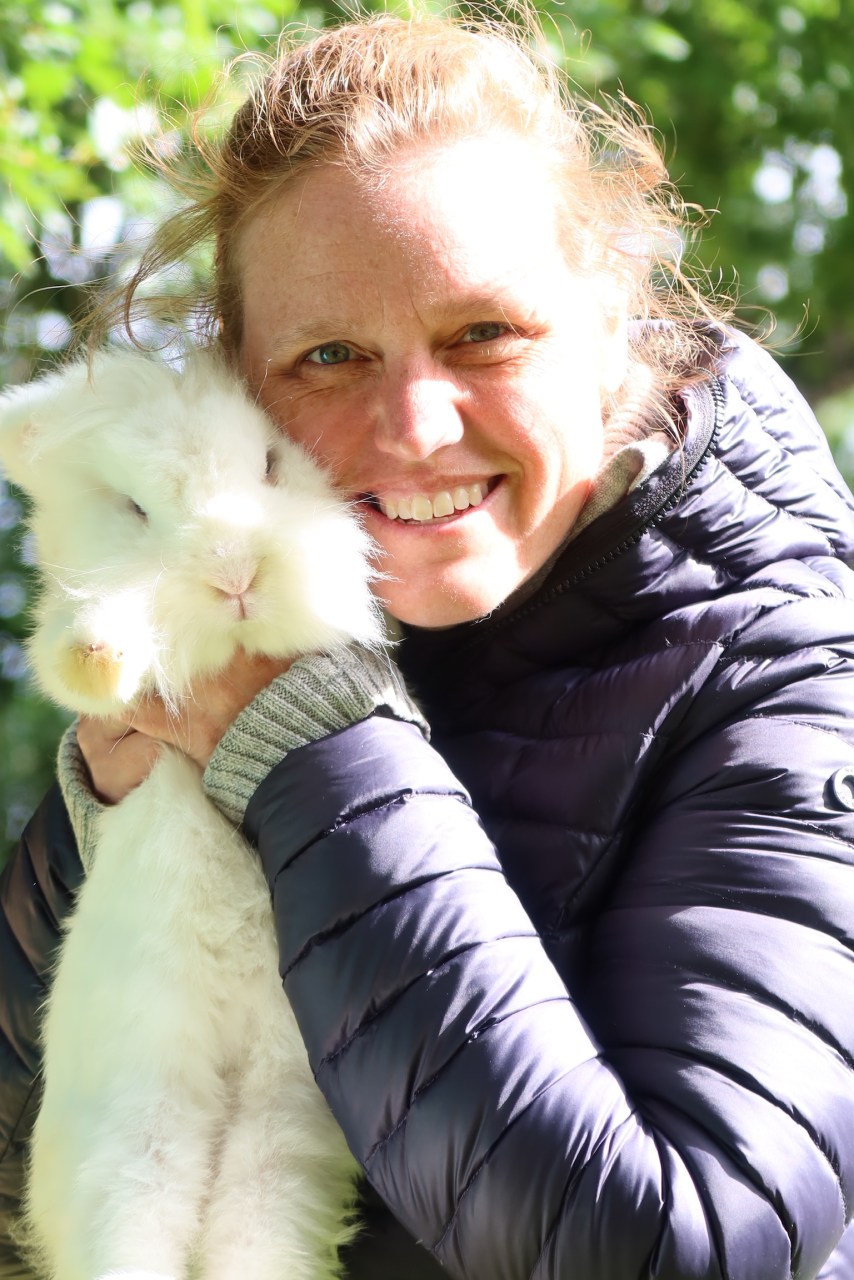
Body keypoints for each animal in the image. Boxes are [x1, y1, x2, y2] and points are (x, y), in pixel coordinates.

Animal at [0, 347, 384, 1280]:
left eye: (273, 467)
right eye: (134, 509)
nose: (235, 575)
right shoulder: (59, 633)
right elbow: (72, 656)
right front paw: (102, 654)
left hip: (283, 1134)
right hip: (136, 1135)